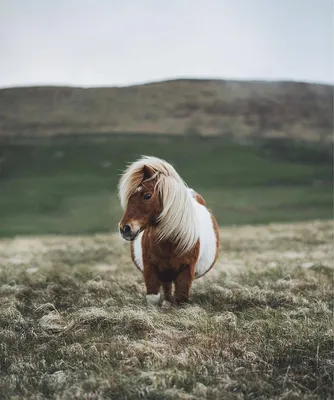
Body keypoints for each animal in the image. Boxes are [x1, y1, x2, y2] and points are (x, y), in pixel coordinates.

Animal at [117, 155, 219, 306]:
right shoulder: (150, 269)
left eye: (147, 196)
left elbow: (181, 298)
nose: (125, 228)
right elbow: (153, 298)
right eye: (130, 197)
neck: (170, 244)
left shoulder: (186, 272)